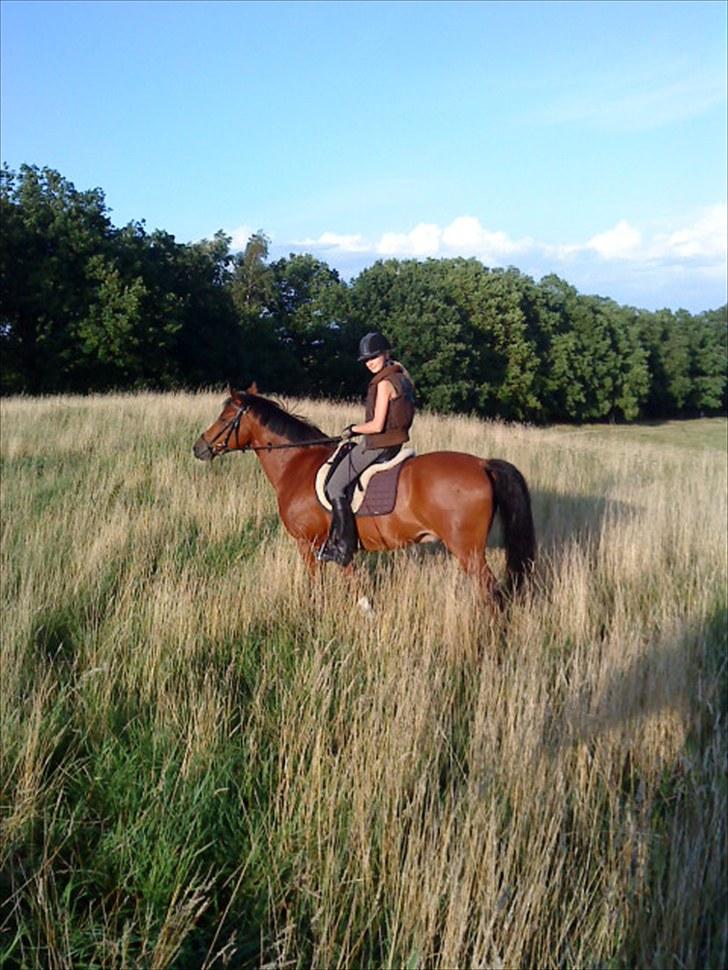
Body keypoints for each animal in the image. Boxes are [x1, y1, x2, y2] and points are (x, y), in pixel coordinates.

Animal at [193, 386, 536, 596]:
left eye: (225, 418)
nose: (199, 447)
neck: (296, 462)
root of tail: (482, 464)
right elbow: (354, 587)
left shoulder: (307, 544)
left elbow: (316, 587)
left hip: (469, 553)